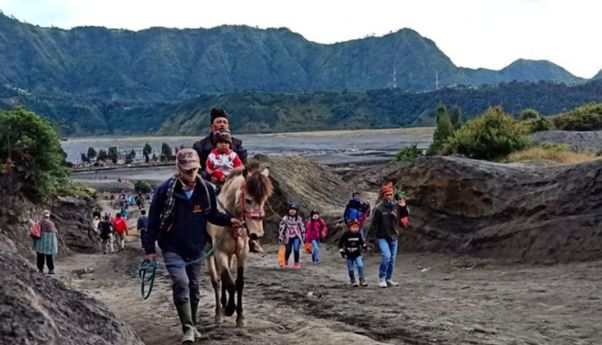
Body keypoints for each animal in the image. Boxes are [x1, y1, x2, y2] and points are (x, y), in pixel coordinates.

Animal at [206, 161, 272, 326]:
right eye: (248, 200)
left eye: (263, 200)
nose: (256, 234)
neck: (230, 221)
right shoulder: (220, 253)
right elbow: (229, 283)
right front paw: (230, 309)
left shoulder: (241, 253)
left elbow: (238, 283)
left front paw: (240, 316)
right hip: (209, 253)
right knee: (216, 281)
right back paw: (219, 313)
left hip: (230, 255)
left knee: (223, 278)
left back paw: (223, 305)